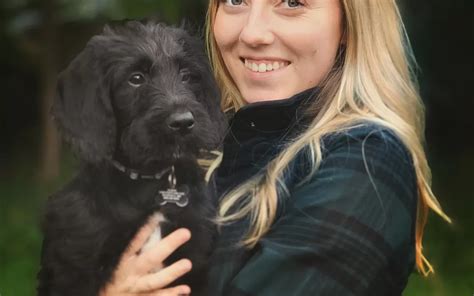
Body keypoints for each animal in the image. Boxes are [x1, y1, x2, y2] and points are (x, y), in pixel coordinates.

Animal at [37, 19, 226, 294]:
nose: (183, 123)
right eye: (136, 79)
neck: (149, 181)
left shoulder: (195, 256)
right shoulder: (73, 267)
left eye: (187, 75)